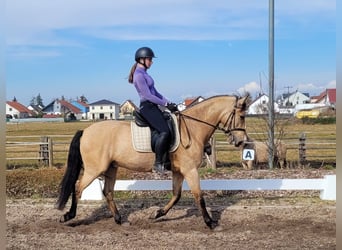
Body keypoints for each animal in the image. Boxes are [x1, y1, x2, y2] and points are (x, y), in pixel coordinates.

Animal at [55, 94, 248, 229]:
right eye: (241, 116)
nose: (241, 141)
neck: (193, 128)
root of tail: (86, 131)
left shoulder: (179, 171)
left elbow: (176, 195)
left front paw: (157, 213)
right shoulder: (190, 170)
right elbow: (199, 196)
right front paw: (211, 223)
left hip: (111, 169)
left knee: (108, 192)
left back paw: (120, 220)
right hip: (94, 169)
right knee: (78, 188)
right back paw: (68, 216)